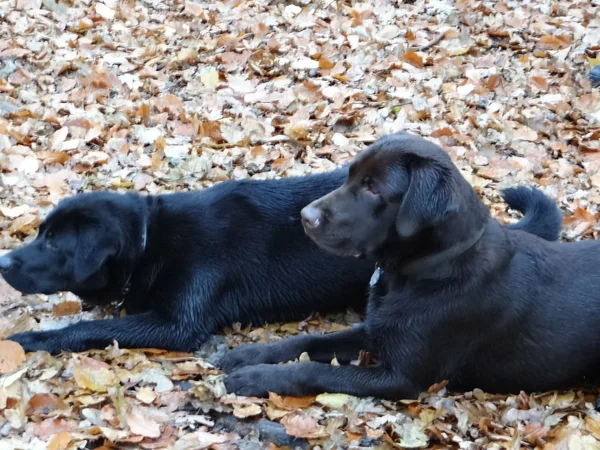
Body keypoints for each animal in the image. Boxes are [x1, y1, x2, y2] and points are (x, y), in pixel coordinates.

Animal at [2, 163, 560, 356]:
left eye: (53, 243)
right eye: (40, 234)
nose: (4, 261)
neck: (148, 240)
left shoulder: (177, 324)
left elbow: (88, 329)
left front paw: (30, 340)